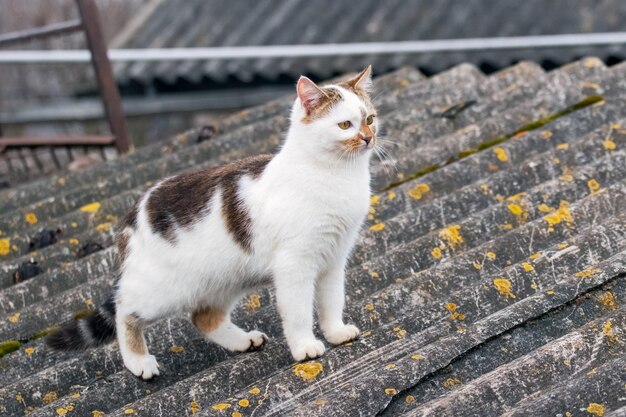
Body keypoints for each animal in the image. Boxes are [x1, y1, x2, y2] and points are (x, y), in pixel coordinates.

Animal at [46, 64, 378, 376]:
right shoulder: (294, 264)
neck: (334, 174)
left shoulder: (334, 258)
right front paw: (305, 347)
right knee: (123, 308)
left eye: (370, 119)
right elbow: (298, 312)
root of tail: (134, 213)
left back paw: (243, 341)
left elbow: (332, 301)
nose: (368, 138)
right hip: (163, 291)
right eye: (345, 124)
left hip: (225, 279)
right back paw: (138, 361)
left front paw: (336, 333)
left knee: (202, 318)